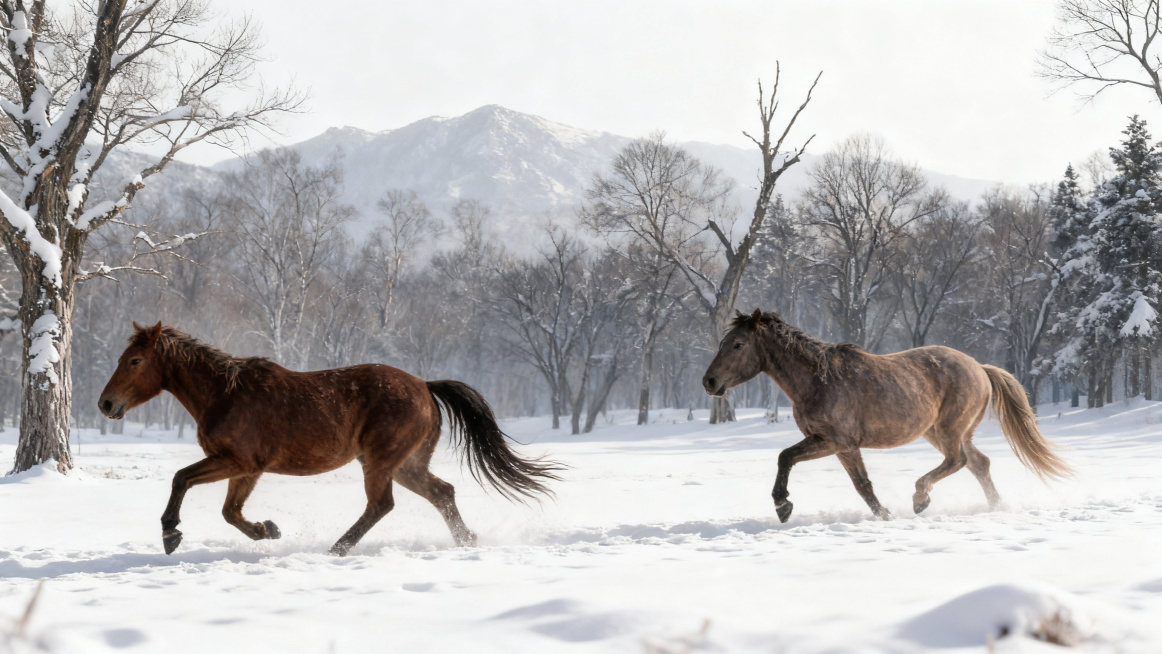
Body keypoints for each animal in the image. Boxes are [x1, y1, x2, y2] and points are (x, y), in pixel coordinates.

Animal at [98, 322, 563, 556]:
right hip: (406, 464)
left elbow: (181, 479)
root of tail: (425, 387)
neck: (224, 394)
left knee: (382, 505)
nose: (105, 404)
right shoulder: (246, 470)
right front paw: (267, 530)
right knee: (442, 492)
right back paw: (467, 542)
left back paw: (338, 548)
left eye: (135, 360)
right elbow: (231, 513)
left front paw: (170, 534)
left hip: (381, 461)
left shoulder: (239, 462)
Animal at [701, 309, 1073, 523]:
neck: (818, 379)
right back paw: (995, 507)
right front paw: (884, 515)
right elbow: (859, 484)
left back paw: (921, 499)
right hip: (942, 431)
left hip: (949, 430)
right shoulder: (838, 446)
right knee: (978, 463)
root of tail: (980, 368)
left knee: (960, 461)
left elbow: (789, 458)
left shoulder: (838, 441)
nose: (709, 382)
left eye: (737, 345)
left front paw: (783, 506)